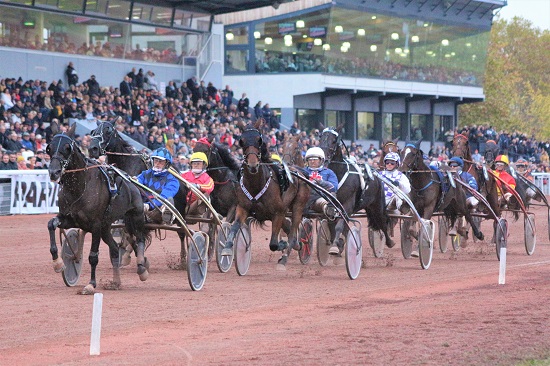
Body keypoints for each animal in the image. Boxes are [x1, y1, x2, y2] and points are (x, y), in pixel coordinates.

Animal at [47, 121, 149, 294]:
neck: (79, 187)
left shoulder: (94, 225)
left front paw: (91, 284)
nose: (54, 172)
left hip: (135, 216)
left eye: (67, 147)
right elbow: (51, 225)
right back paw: (116, 281)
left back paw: (142, 268)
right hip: (106, 226)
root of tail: (130, 180)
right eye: (49, 148)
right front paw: (58, 263)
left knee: (139, 239)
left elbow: (93, 256)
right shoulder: (69, 219)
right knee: (114, 248)